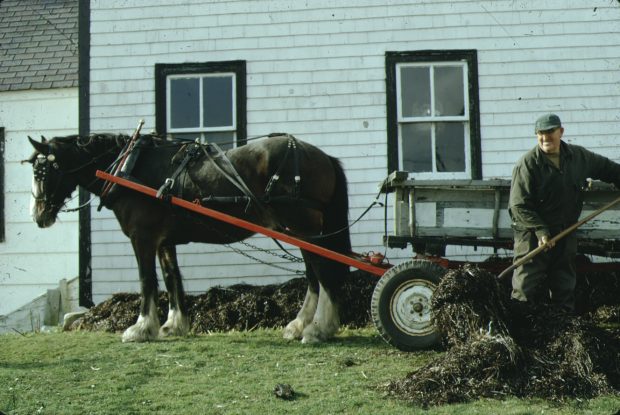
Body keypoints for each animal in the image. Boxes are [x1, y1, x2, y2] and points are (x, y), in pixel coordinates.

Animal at [26, 134, 352, 344]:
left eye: (43, 170)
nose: (38, 215)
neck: (130, 168)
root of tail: (322, 156)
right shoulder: (164, 241)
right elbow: (173, 278)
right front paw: (173, 325)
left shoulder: (143, 237)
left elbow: (147, 281)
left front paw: (140, 328)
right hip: (301, 231)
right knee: (314, 276)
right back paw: (300, 325)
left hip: (305, 229)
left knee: (323, 274)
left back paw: (318, 329)